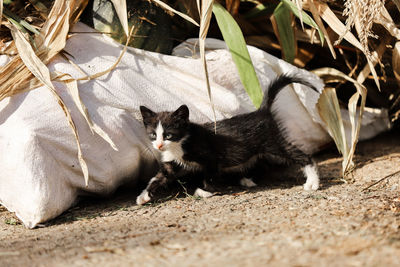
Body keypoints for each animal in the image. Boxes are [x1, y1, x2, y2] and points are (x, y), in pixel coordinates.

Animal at [138, 75, 322, 205]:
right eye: (153, 135)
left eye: (168, 135)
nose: (159, 145)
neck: (181, 143)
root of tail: (262, 111)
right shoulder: (171, 163)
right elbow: (158, 177)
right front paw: (144, 196)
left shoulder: (211, 158)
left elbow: (210, 176)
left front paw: (204, 191)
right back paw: (247, 179)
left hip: (273, 143)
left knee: (301, 155)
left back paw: (313, 182)